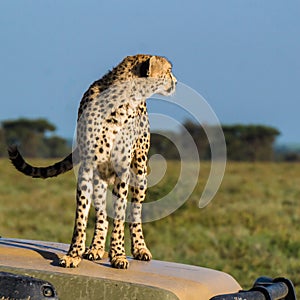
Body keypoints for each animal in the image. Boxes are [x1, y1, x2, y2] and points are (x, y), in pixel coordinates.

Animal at [8, 54, 177, 270]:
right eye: (168, 70)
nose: (175, 82)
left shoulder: (123, 170)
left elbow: (120, 215)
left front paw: (118, 255)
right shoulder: (88, 168)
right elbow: (81, 216)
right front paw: (74, 254)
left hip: (139, 172)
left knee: (135, 213)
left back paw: (140, 248)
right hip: (100, 177)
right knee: (102, 215)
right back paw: (96, 247)